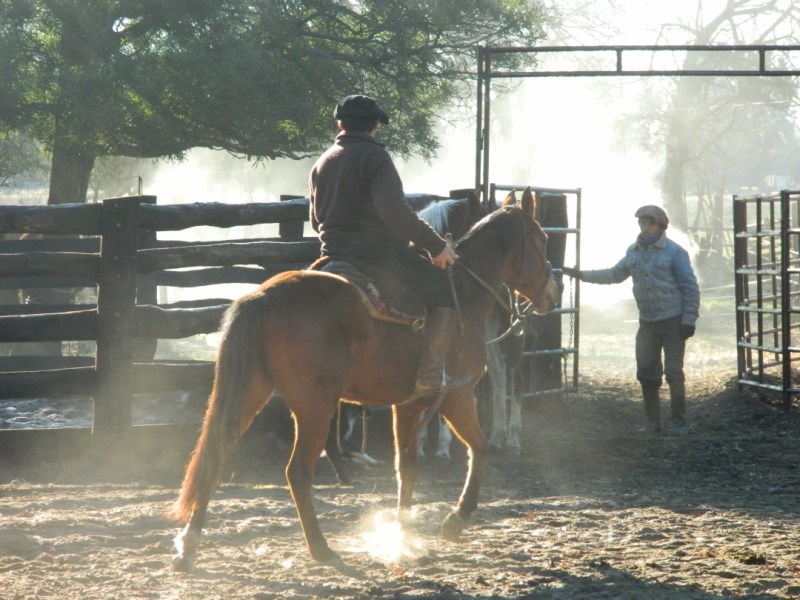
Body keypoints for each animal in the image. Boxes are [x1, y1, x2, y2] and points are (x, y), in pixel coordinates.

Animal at [168, 186, 556, 568]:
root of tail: (263, 296)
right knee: (298, 471)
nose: (552, 294)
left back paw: (189, 545)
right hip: (315, 407)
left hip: (252, 392)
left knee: (217, 454)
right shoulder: (458, 395)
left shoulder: (407, 406)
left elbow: (407, 468)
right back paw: (321, 549)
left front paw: (403, 530)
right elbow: (480, 448)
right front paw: (456, 519)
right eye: (542, 238)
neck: (465, 292)